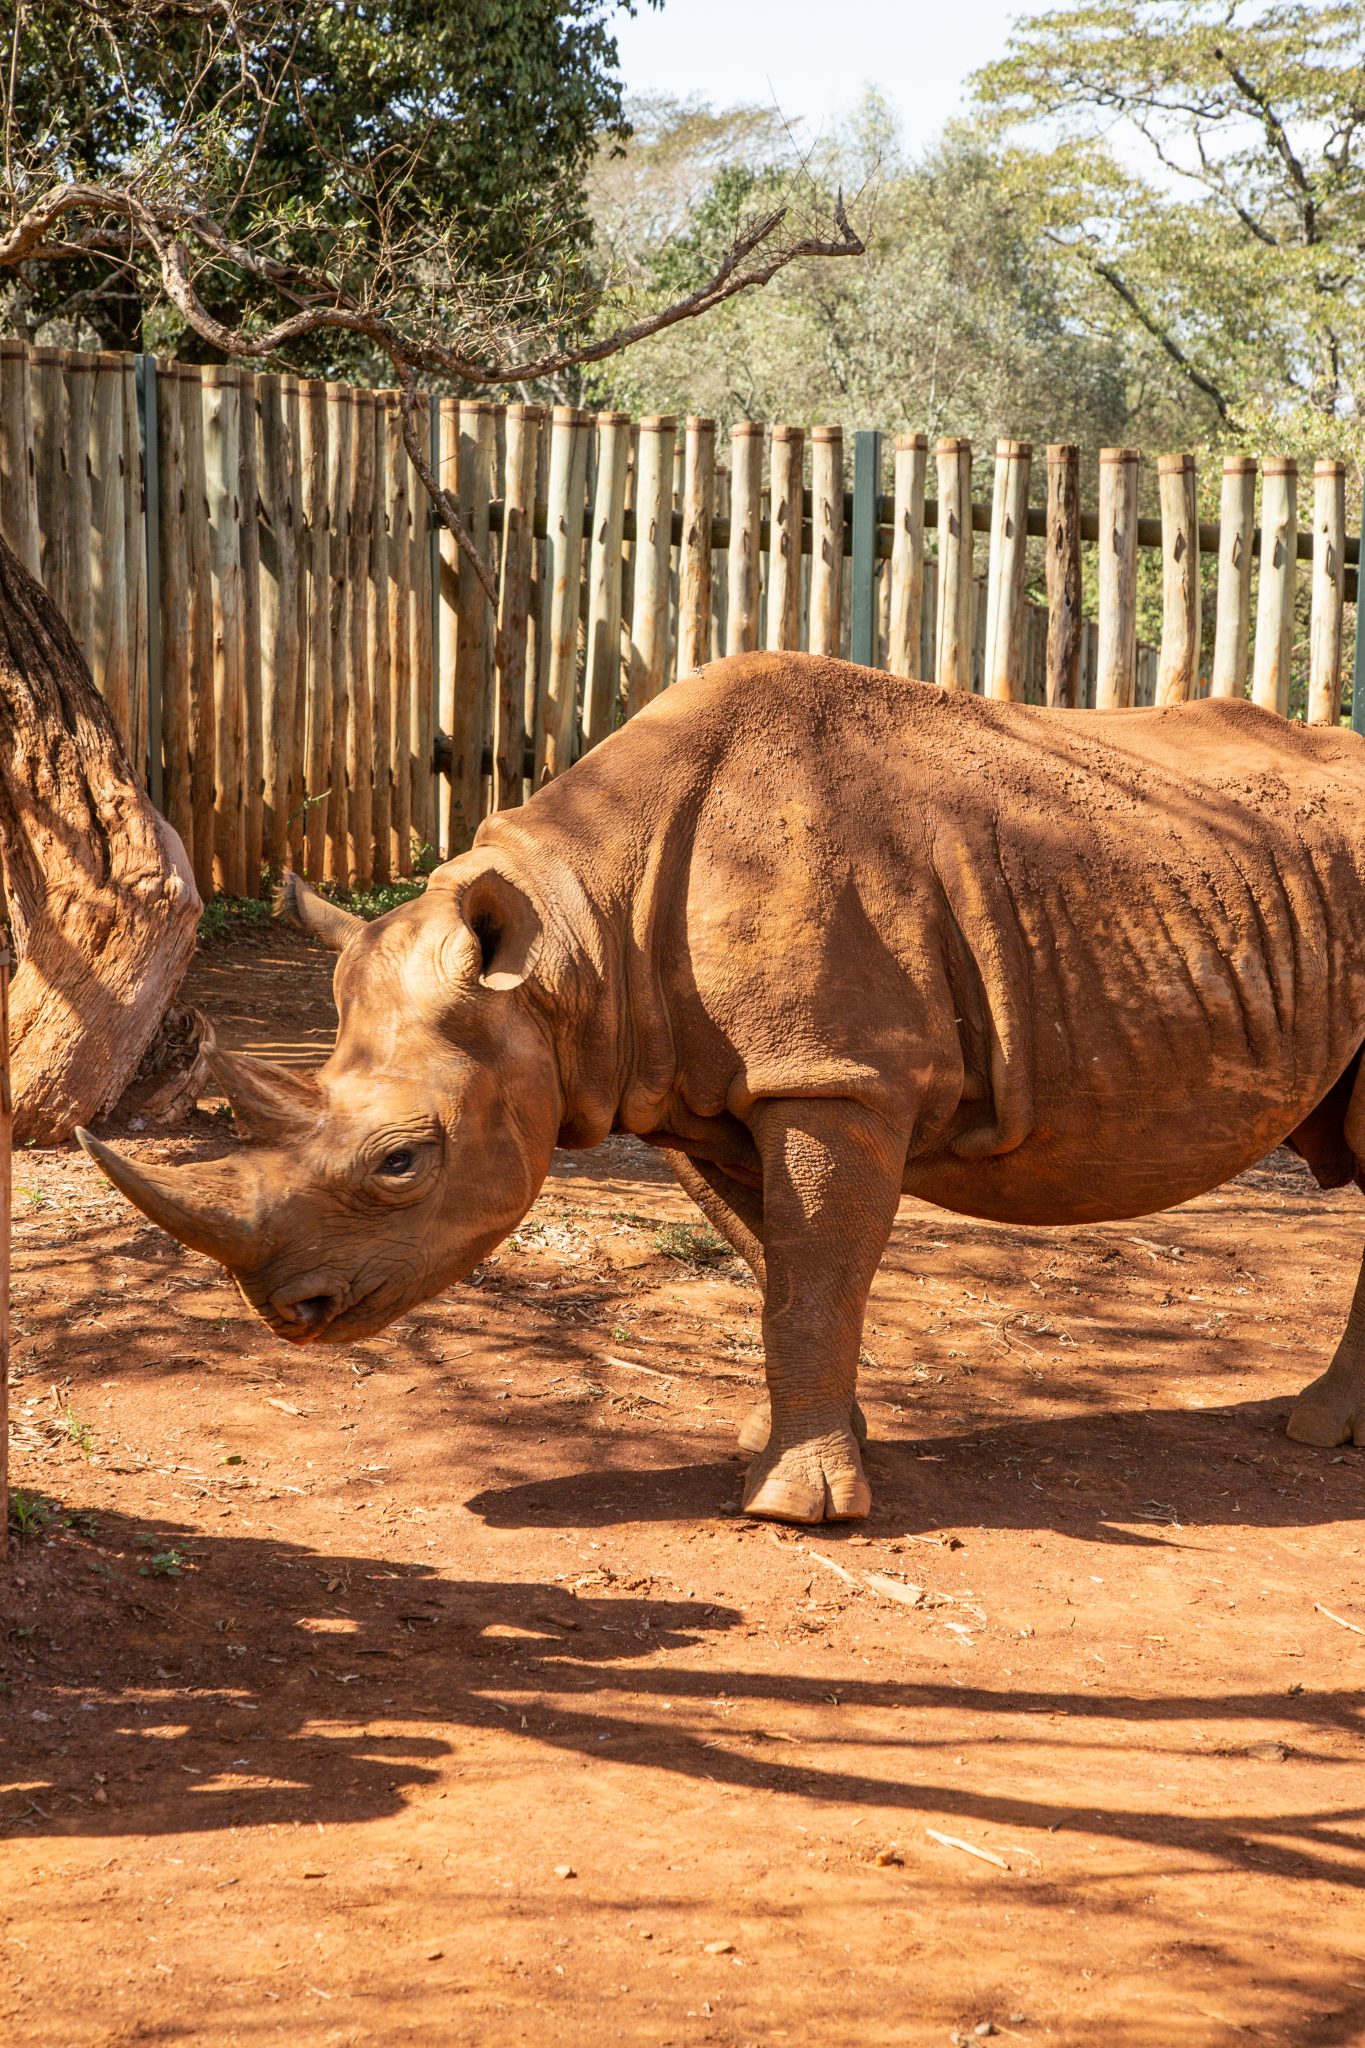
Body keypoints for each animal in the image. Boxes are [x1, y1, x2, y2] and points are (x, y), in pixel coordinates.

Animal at [77, 655, 1365, 1523]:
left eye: (401, 1161)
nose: (288, 1313)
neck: (571, 938)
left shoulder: (837, 1076)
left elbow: (812, 1276)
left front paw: (796, 1509)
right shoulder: (704, 1081)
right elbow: (780, 1265)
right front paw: (805, 1444)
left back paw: (1319, 1433)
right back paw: (1329, 1434)